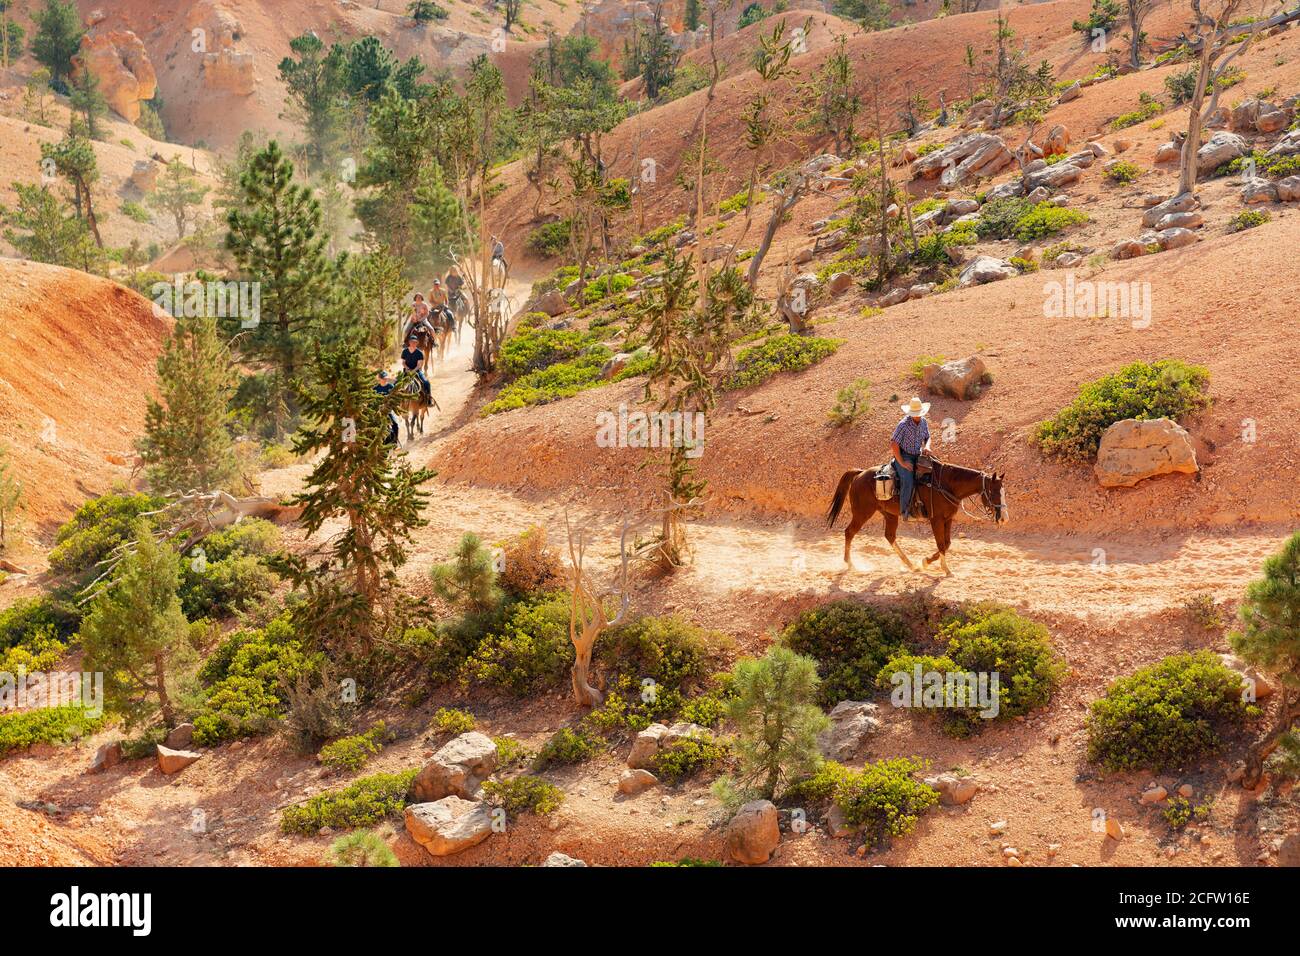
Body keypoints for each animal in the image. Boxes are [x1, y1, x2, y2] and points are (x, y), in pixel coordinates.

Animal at [826, 463, 1008, 574]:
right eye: (994, 492)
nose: (1004, 519)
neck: (946, 485)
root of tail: (860, 474)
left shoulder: (948, 519)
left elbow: (947, 543)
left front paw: (926, 561)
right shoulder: (936, 520)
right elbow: (941, 543)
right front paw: (945, 569)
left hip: (889, 514)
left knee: (889, 536)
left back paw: (911, 565)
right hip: (862, 512)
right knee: (849, 532)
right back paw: (850, 563)